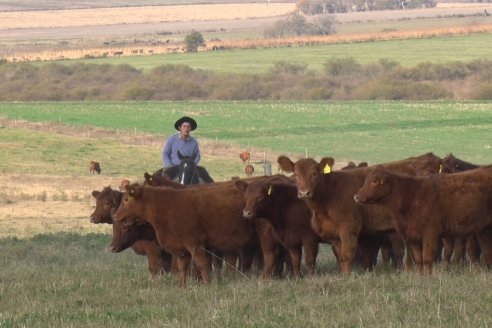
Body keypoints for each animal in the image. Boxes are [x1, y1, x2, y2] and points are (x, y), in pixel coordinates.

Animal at [354, 164, 492, 274]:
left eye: (374, 181)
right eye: (366, 180)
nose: (356, 196)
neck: (411, 196)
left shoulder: (430, 233)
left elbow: (427, 258)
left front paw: (429, 278)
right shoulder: (413, 236)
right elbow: (418, 259)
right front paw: (420, 277)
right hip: (484, 229)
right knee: (487, 252)